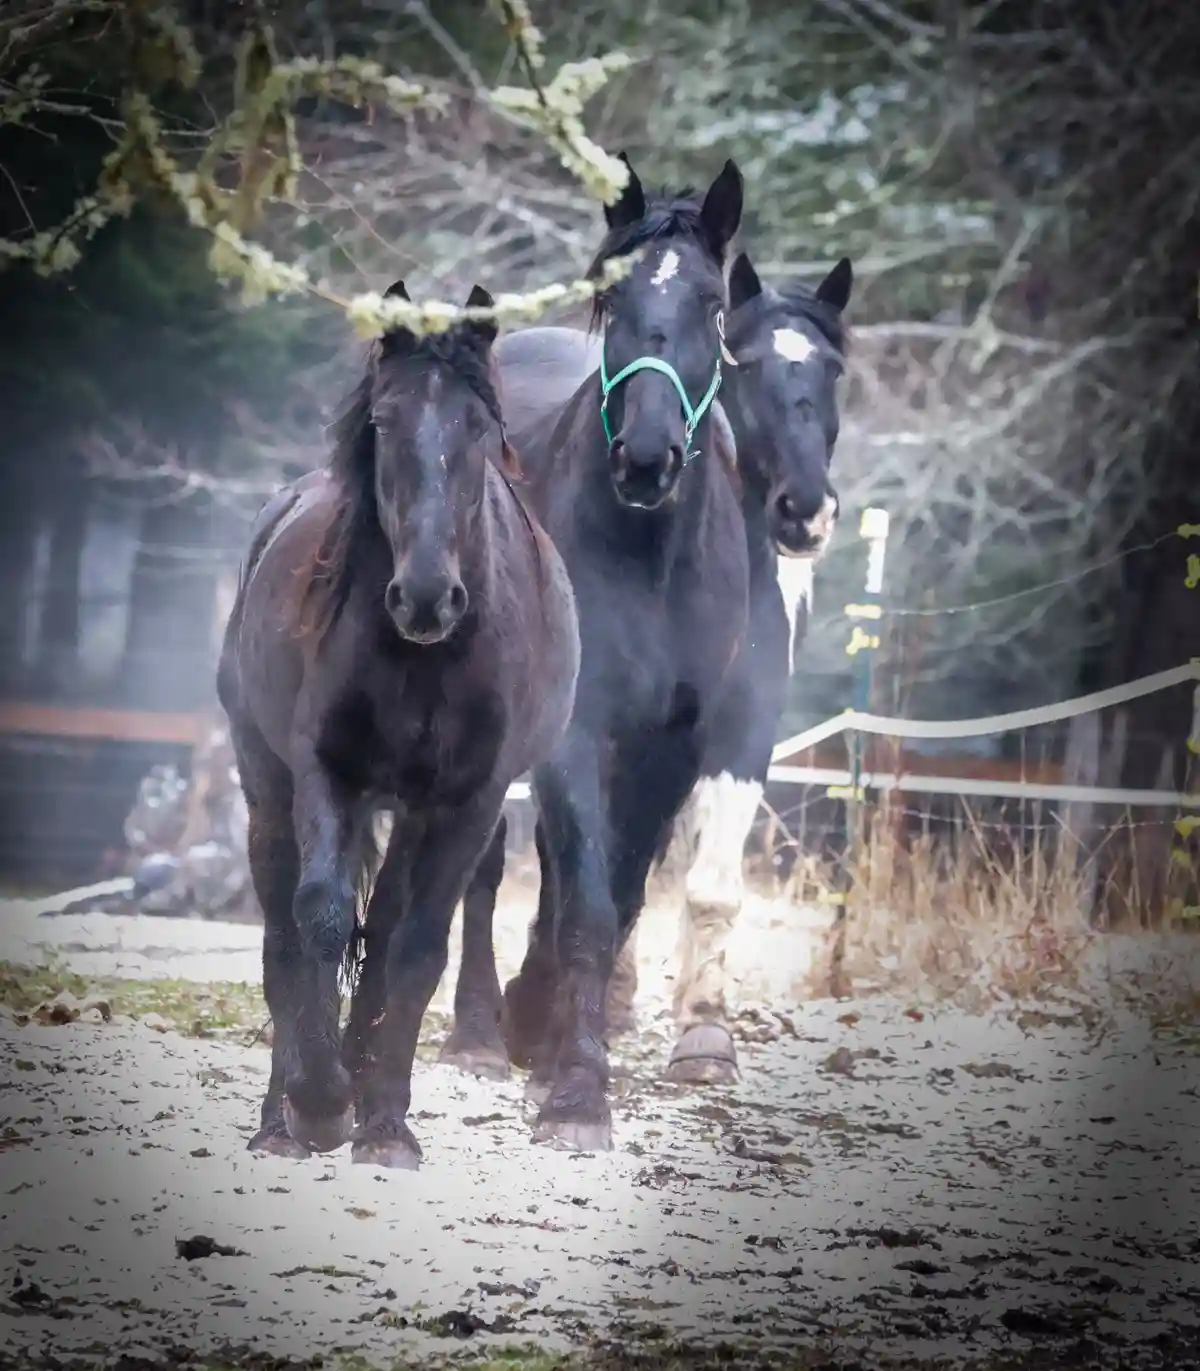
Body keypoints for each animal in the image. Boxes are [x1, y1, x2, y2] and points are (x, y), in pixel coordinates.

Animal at [215, 284, 580, 1168]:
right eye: (383, 420)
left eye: (478, 425)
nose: (424, 598)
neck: (429, 660)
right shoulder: (328, 775)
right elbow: (318, 921)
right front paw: (319, 1105)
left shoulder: (467, 802)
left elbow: (414, 949)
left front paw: (383, 1124)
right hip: (267, 786)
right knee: (283, 936)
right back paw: (281, 1118)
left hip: (413, 813)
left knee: (383, 937)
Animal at [431, 153, 752, 1152]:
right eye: (611, 301)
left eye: (713, 307)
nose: (647, 458)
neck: (647, 556)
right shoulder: (576, 727)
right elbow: (588, 902)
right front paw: (575, 1090)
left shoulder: (671, 745)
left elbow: (617, 896)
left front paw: (560, 1054)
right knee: (485, 865)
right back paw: (481, 1034)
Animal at [439, 248, 852, 1091]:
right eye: (745, 362)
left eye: (831, 368)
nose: (805, 511)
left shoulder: (739, 723)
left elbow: (697, 878)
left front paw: (703, 1034)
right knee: (488, 864)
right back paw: (479, 1030)